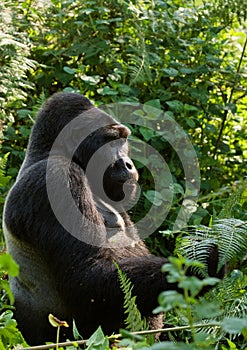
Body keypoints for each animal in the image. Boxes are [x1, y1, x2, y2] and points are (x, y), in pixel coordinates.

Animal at [1, 92, 222, 344]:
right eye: (111, 140)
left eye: (123, 140)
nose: (128, 164)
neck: (48, 152)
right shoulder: (55, 180)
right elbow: (87, 278)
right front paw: (203, 264)